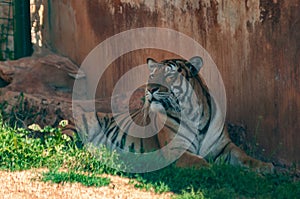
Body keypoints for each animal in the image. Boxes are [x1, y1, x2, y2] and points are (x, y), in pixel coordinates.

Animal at [71, 56, 274, 173]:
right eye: (152, 76)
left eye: (169, 75)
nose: (150, 89)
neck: (193, 113)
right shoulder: (177, 151)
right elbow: (205, 164)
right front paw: (224, 173)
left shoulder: (224, 146)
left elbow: (244, 156)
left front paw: (265, 167)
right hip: (80, 125)